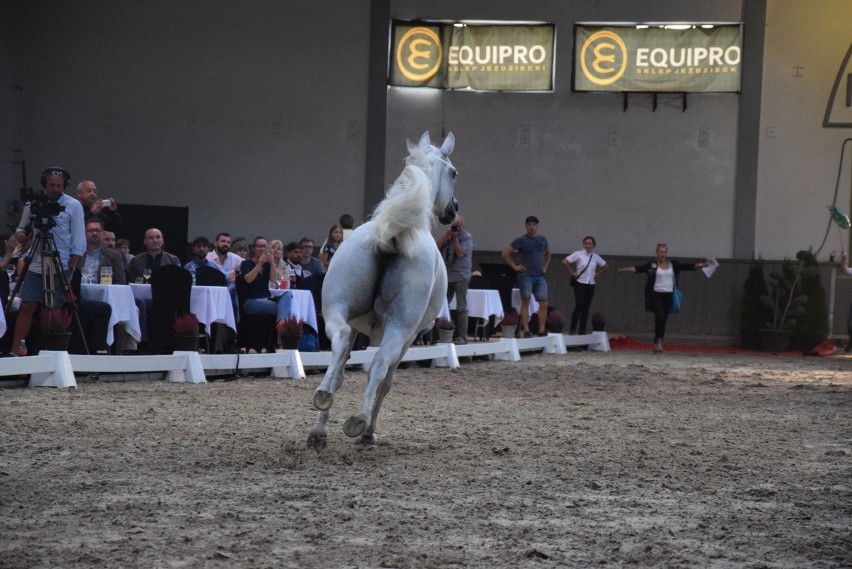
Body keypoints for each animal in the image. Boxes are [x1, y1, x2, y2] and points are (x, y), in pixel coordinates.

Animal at [308, 131, 460, 446]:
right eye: (453, 172)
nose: (453, 209)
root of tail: (392, 234)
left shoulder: (357, 327)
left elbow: (340, 371)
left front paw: (321, 428)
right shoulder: (409, 337)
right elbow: (386, 382)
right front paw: (369, 431)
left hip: (337, 310)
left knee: (339, 340)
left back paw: (322, 403)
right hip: (399, 329)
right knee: (378, 365)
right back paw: (359, 424)